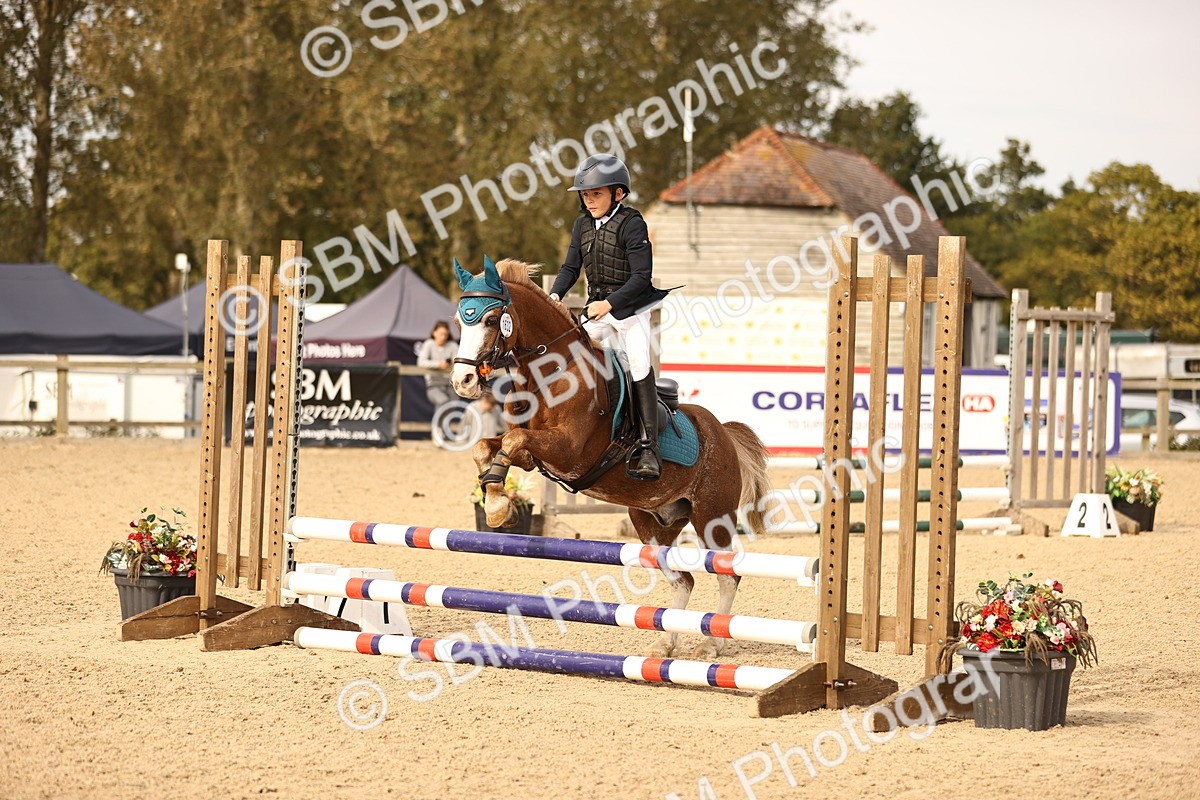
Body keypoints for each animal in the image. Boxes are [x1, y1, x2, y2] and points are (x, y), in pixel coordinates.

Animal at [447, 255, 772, 660]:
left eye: (491, 320)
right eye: (460, 320)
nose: (462, 381)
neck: (552, 372)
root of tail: (724, 433)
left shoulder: (567, 451)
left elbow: (512, 438)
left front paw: (496, 506)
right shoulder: (533, 457)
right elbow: (490, 446)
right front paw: (495, 503)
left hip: (713, 517)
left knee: (727, 575)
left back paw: (711, 643)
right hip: (653, 524)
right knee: (683, 579)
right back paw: (665, 642)